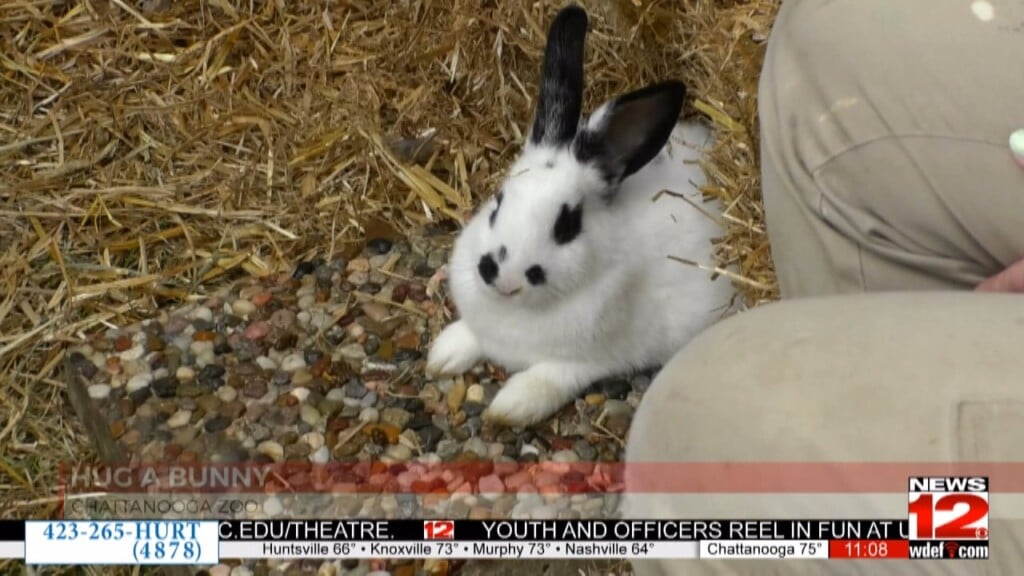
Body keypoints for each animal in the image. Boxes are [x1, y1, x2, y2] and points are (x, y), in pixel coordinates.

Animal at [426, 4, 734, 427]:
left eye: (567, 225)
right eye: (498, 201)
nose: (502, 277)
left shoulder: (587, 361)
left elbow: (547, 379)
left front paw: (507, 410)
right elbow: (469, 335)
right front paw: (440, 356)